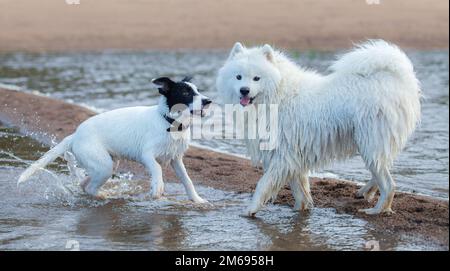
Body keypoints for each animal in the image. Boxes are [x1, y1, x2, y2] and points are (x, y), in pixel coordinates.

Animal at [18, 76, 212, 204]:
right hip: (104, 165)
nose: (208, 101)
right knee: (90, 187)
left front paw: (197, 200)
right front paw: (157, 188)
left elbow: (187, 180)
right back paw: (103, 197)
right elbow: (157, 168)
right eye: (185, 92)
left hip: (109, 165)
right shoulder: (147, 155)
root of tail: (75, 135)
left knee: (84, 183)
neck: (169, 122)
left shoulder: (176, 159)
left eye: (198, 90)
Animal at [217, 40, 422, 217]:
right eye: (238, 77)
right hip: (369, 143)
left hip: (370, 141)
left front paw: (250, 210)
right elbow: (299, 189)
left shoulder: (283, 155)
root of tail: (397, 80)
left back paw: (377, 210)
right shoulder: (291, 157)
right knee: (382, 169)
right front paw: (301, 209)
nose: (244, 90)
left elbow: (263, 184)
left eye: (256, 78)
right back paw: (365, 191)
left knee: (388, 184)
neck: (279, 95)